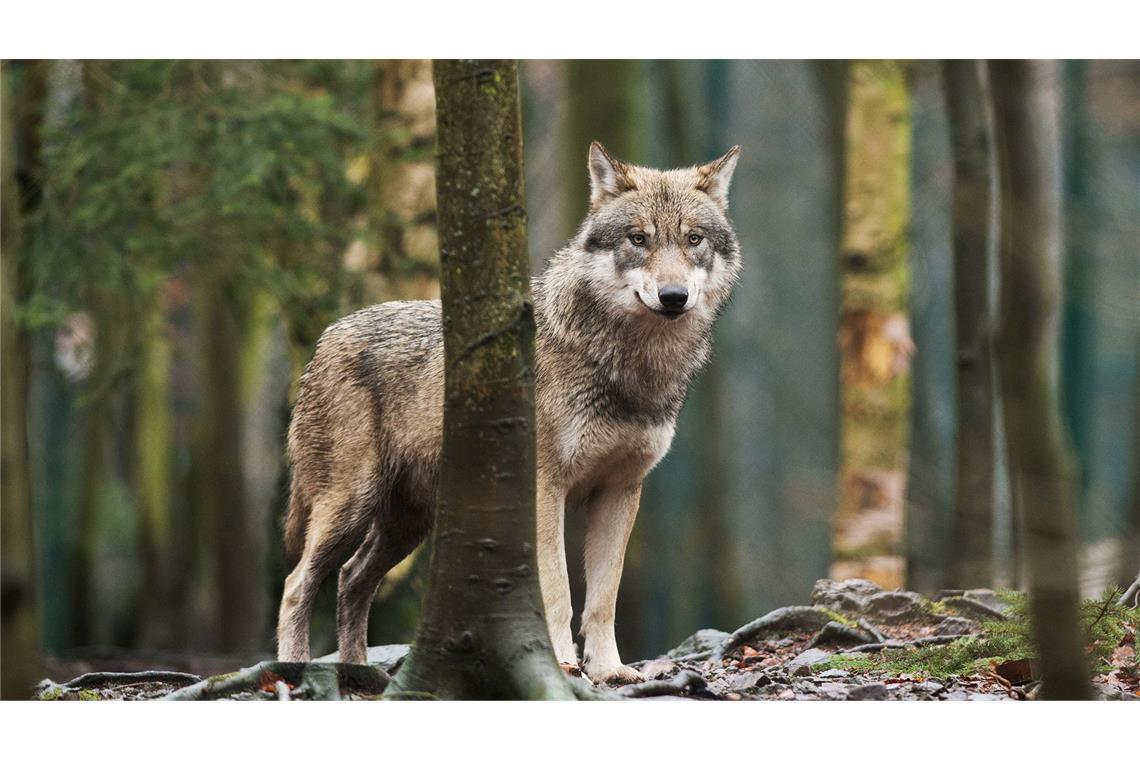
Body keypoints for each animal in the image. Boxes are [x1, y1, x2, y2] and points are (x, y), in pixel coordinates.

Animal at [276, 142, 742, 684]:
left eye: (693, 239)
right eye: (638, 239)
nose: (673, 297)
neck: (628, 367)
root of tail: (325, 338)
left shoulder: (621, 490)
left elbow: (603, 597)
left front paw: (610, 670)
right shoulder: (545, 488)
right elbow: (558, 591)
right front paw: (562, 664)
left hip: (406, 524)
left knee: (351, 580)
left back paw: (358, 673)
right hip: (351, 506)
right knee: (296, 585)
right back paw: (294, 670)